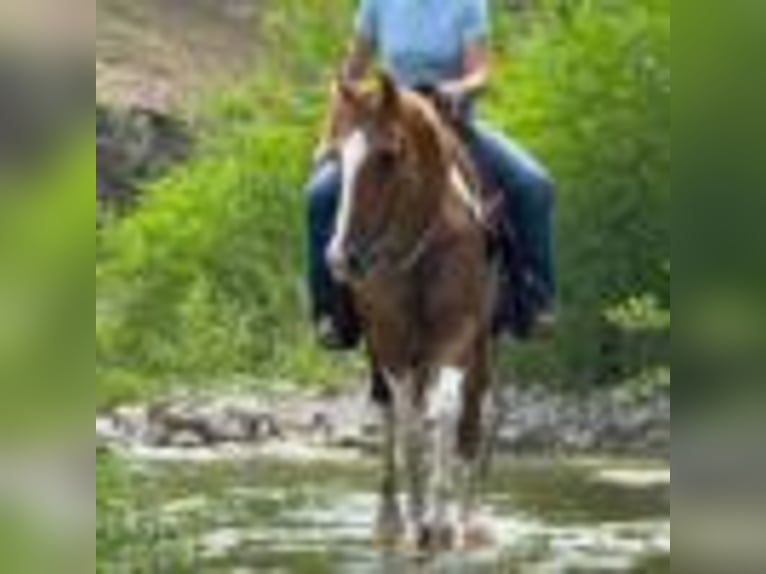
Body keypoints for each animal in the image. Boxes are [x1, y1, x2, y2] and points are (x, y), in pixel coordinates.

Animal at [322, 73, 498, 553]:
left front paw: (444, 522)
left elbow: (447, 411)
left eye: (388, 155)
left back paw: (471, 521)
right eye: (336, 155)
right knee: (390, 412)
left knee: (472, 412)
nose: (342, 259)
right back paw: (390, 520)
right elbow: (408, 426)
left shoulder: (459, 334)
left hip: (478, 346)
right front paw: (419, 522)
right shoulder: (391, 343)